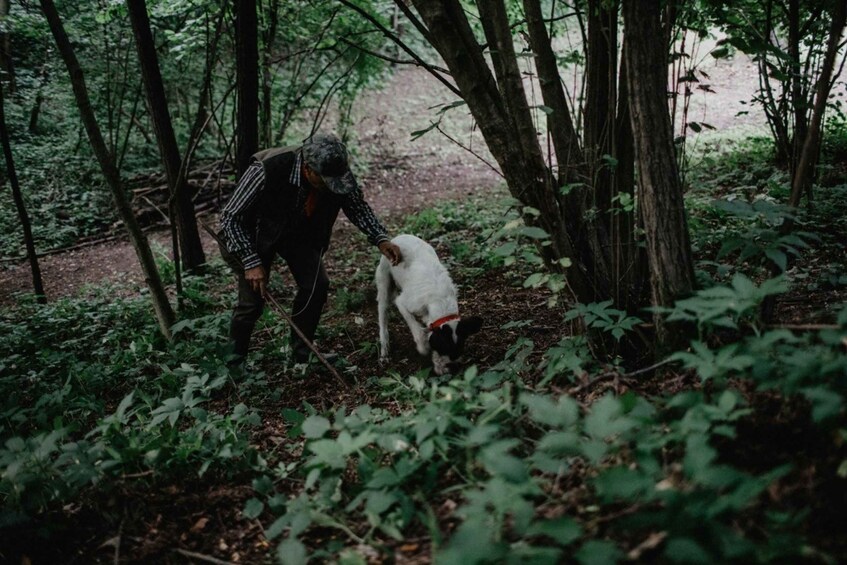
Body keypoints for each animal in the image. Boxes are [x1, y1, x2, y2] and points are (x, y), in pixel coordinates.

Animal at [378, 234, 484, 374]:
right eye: (442, 348)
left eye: (459, 349)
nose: (451, 370)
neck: (441, 301)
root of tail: (399, 236)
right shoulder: (403, 303)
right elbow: (416, 329)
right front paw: (422, 346)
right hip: (384, 283)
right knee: (382, 316)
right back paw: (384, 350)